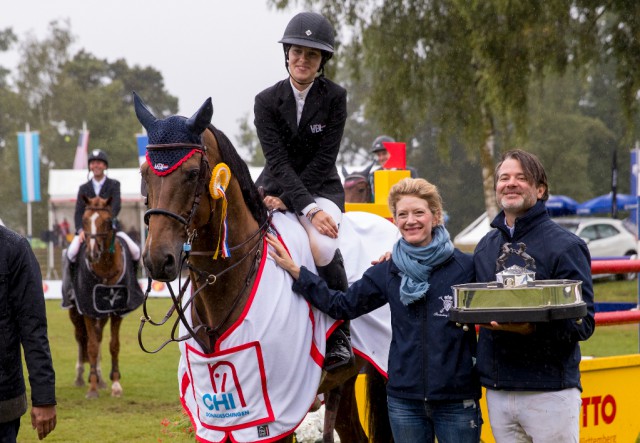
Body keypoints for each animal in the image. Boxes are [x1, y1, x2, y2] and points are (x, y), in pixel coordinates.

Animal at [66, 197, 144, 398]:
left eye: (107, 221)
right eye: (84, 219)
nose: (92, 253)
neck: (105, 269)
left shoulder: (116, 311)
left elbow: (113, 345)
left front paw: (115, 384)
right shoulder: (86, 308)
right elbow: (91, 346)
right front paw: (92, 388)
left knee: (99, 336)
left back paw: (100, 379)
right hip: (75, 312)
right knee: (81, 338)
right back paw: (81, 377)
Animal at [135, 91, 396, 443]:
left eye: (191, 173)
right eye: (144, 174)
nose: (157, 260)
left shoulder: (276, 415)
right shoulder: (215, 420)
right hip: (344, 382)